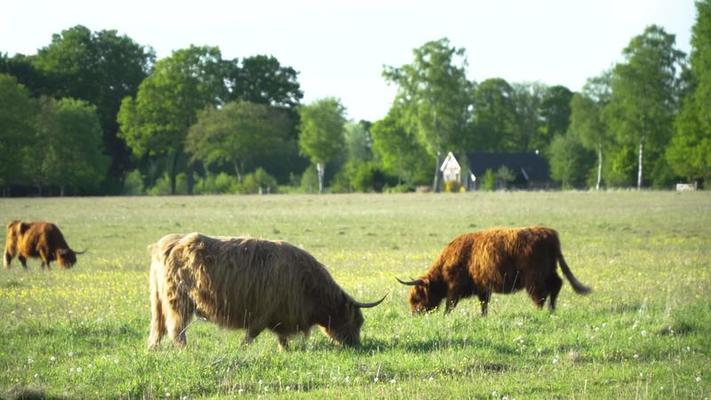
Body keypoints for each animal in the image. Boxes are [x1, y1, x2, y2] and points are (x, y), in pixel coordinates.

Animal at [147, 233, 386, 348]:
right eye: (357, 322)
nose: (356, 345)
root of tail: (168, 243)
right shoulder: (263, 315)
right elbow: (251, 337)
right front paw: (242, 350)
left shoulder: (281, 316)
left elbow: (282, 338)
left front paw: (285, 351)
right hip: (178, 302)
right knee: (177, 330)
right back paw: (185, 350)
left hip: (158, 302)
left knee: (157, 329)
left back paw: (153, 349)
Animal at [398, 227, 592, 314]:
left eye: (417, 297)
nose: (415, 313)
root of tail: (549, 233)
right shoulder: (482, 287)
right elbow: (484, 304)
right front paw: (483, 317)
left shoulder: (455, 287)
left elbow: (450, 305)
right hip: (548, 271)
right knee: (556, 285)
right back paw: (552, 310)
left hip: (534, 277)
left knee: (541, 294)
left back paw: (540, 312)